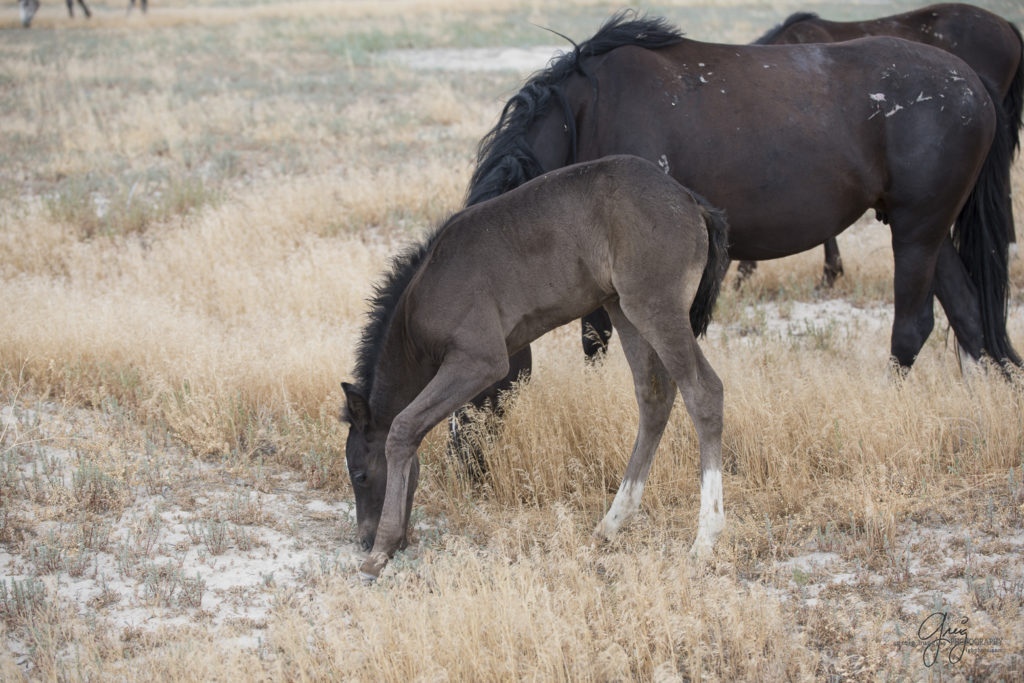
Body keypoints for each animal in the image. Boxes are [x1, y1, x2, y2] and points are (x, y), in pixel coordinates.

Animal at [342, 156, 729, 581]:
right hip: (623, 308)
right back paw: (612, 523)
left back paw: (705, 539)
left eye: (360, 475)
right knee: (654, 397)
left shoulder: (480, 360)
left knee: (704, 392)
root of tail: (693, 204)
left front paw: (382, 550)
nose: (364, 538)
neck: (422, 298)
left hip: (656, 306)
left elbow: (403, 428)